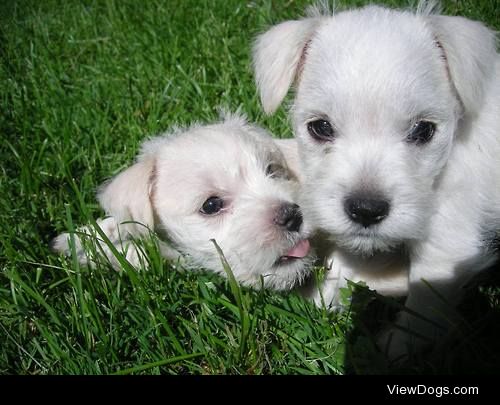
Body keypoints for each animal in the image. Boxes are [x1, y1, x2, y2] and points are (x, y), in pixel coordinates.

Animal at [53, 113, 312, 290]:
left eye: (272, 171)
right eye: (211, 205)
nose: (293, 216)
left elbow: (146, 255)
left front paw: (96, 254)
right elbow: (119, 223)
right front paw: (76, 239)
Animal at [254, 2, 500, 356]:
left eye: (424, 130)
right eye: (321, 127)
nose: (366, 210)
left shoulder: (449, 242)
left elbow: (425, 299)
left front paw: (395, 349)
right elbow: (345, 263)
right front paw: (323, 299)